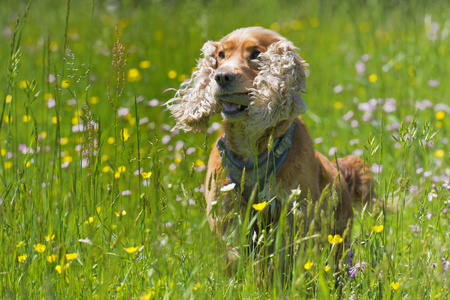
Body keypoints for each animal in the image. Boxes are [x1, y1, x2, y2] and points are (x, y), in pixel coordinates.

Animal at [167, 27, 374, 278]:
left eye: (256, 54)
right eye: (220, 55)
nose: (222, 76)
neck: (250, 146)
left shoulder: (292, 212)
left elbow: (278, 262)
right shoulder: (226, 213)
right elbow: (234, 259)